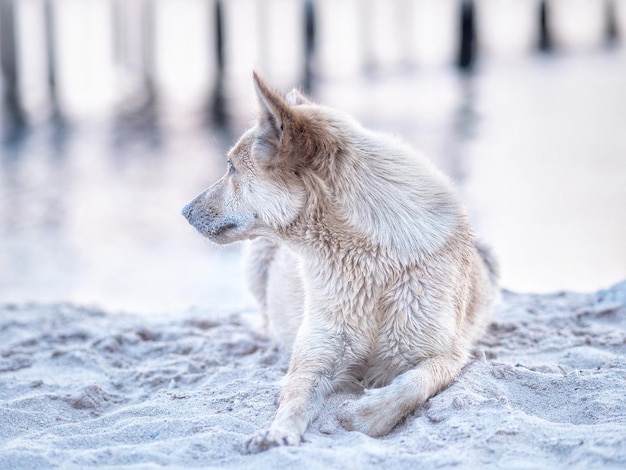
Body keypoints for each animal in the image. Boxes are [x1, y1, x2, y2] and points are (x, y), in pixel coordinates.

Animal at [182, 72, 498, 452]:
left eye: (231, 169)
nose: (184, 212)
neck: (371, 260)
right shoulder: (316, 358)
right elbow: (294, 396)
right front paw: (277, 431)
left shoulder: (448, 356)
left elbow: (415, 384)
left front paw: (366, 415)